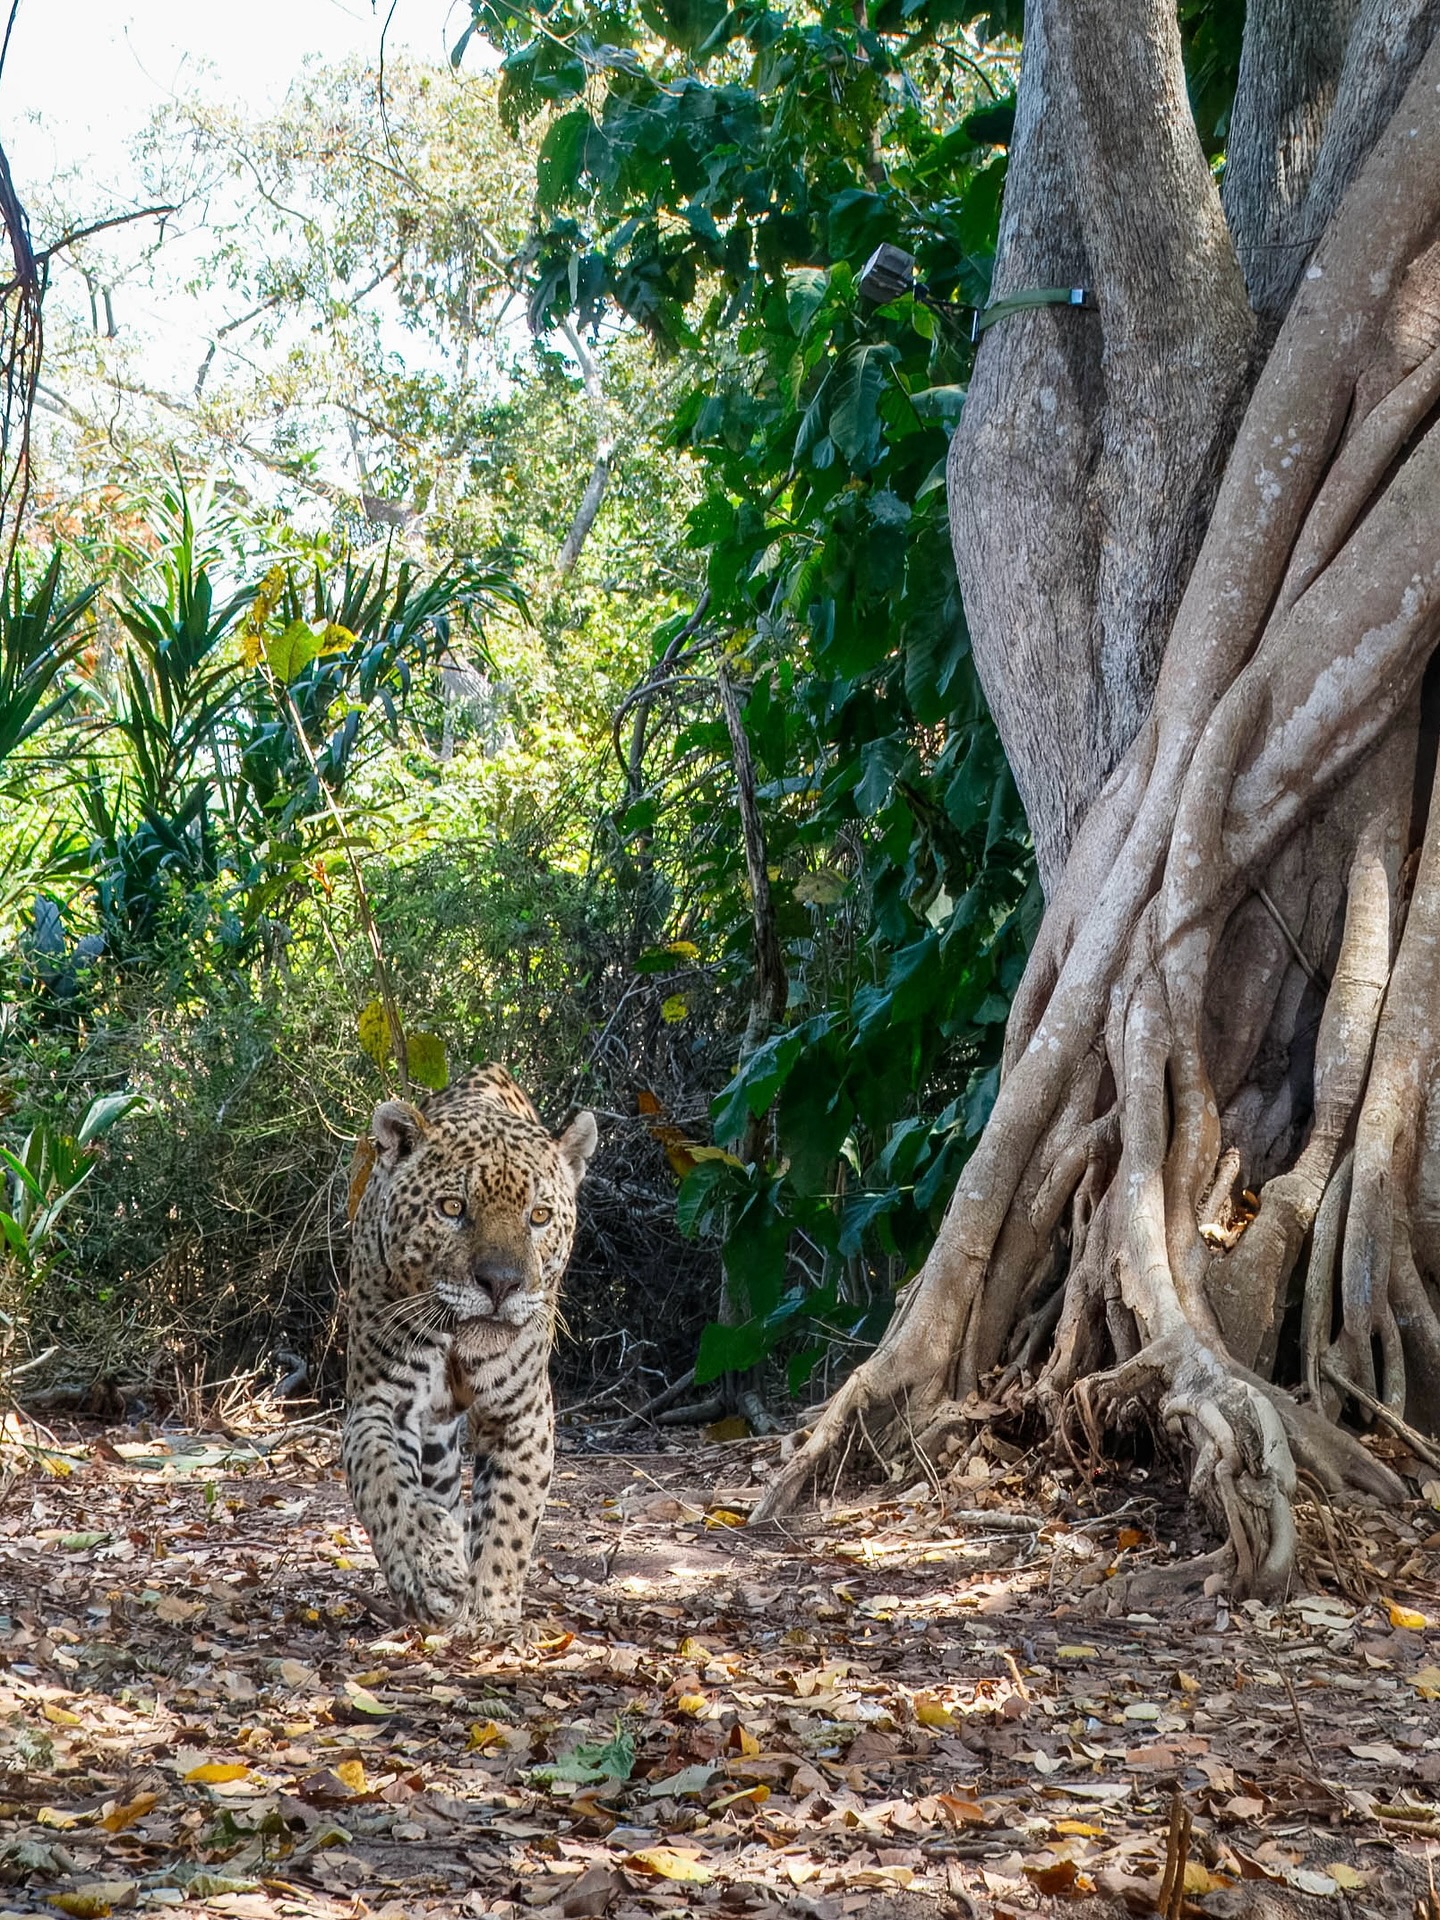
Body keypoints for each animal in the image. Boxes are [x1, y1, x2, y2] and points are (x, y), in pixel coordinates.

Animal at [342, 1063, 597, 1631]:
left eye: (539, 1216)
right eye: (452, 1208)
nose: (501, 1283)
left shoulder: (522, 1413)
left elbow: (510, 1514)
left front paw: (492, 1613)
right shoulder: (378, 1401)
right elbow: (383, 1482)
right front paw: (428, 1569)